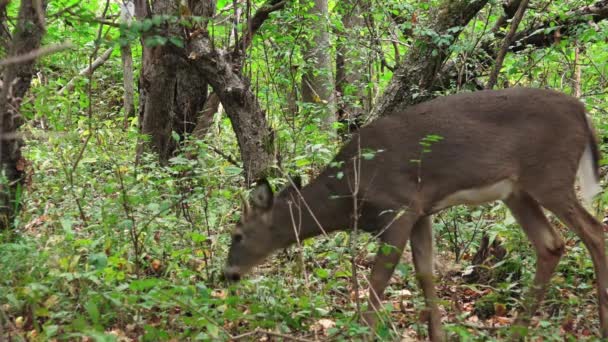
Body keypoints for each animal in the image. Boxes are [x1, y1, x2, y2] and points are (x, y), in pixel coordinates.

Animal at [224, 87, 608, 340]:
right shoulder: (422, 212)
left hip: (549, 175)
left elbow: (378, 281)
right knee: (551, 244)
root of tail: (582, 110)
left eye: (238, 234)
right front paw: (437, 334)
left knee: (594, 231)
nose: (228, 274)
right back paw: (516, 332)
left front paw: (363, 331)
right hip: (517, 191)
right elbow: (426, 274)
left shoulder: (398, 208)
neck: (347, 192)